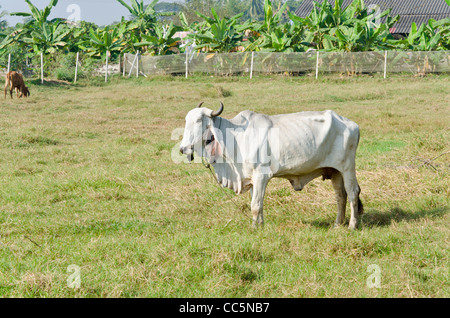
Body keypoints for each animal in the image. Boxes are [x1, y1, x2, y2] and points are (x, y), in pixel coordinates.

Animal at [178, 102, 362, 229]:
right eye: (186, 120)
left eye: (199, 120)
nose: (182, 148)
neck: (236, 138)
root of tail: (352, 124)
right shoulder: (251, 179)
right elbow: (257, 204)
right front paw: (258, 225)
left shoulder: (261, 176)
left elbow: (255, 205)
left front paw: (254, 228)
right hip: (335, 171)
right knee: (341, 196)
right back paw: (337, 224)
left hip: (347, 168)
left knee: (353, 193)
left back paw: (352, 225)